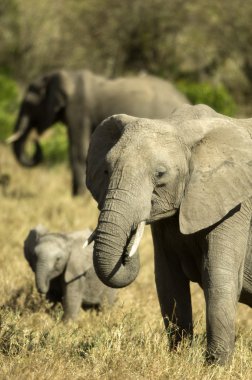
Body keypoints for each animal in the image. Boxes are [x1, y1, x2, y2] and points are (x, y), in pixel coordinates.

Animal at [6, 68, 189, 197]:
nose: (35, 141)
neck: (67, 75)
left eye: (29, 104)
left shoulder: (78, 109)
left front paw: (78, 197)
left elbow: (77, 151)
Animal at [85, 102, 252, 364]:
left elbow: (218, 277)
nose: (126, 250)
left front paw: (215, 366)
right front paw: (178, 359)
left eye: (160, 174)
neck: (182, 126)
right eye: (106, 170)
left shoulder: (236, 205)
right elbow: (168, 281)